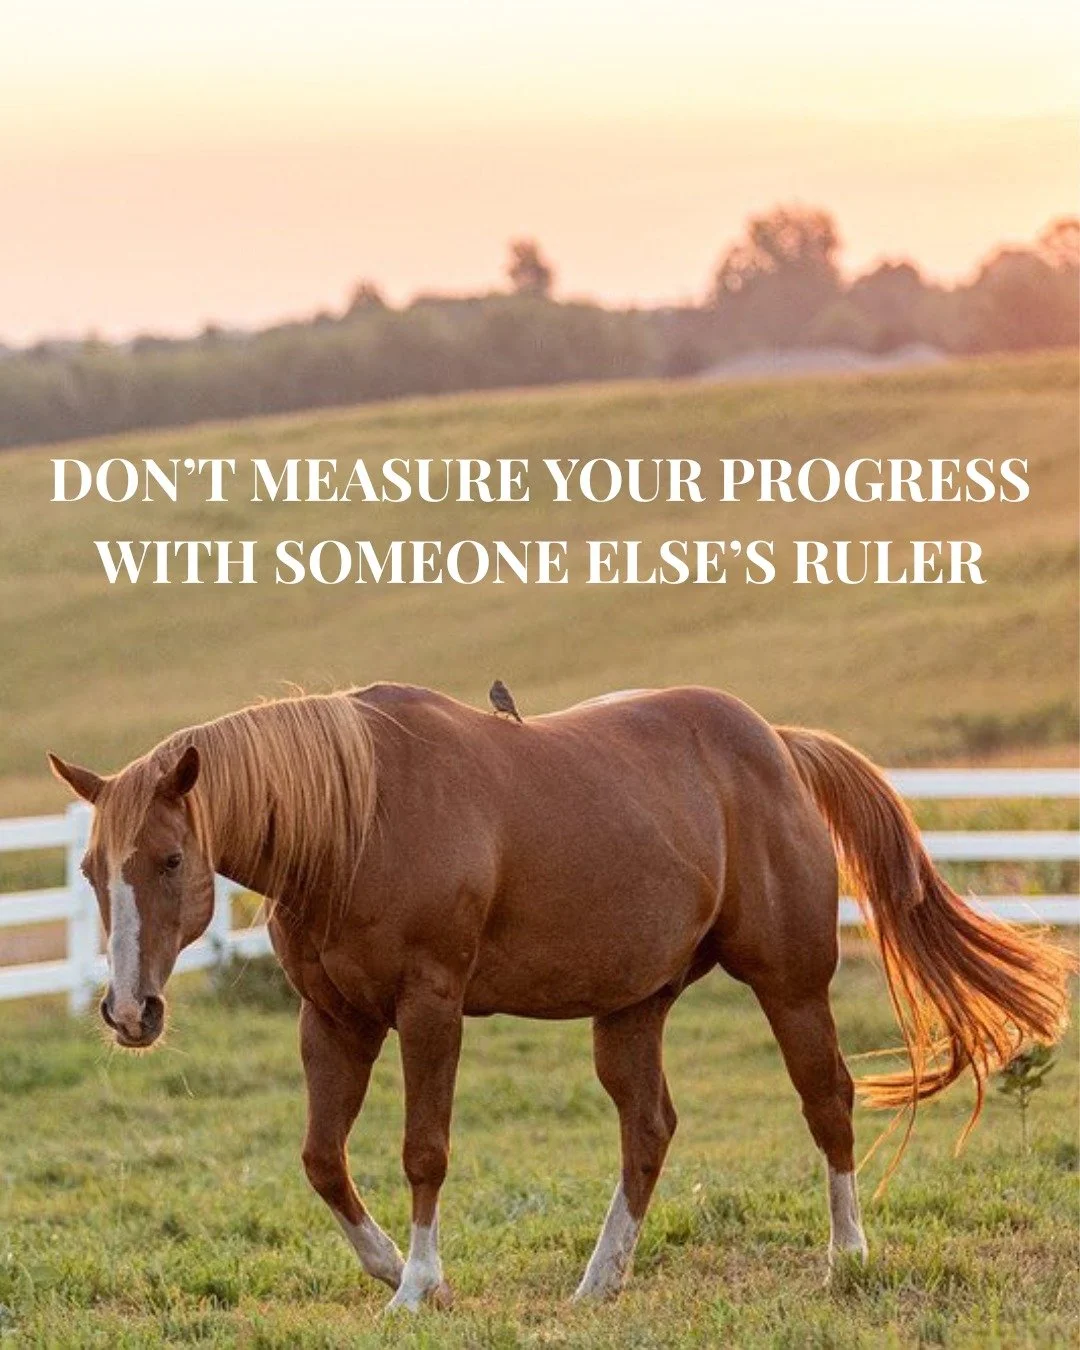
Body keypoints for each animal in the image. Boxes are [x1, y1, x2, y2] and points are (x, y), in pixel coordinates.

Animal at [48, 684, 1074, 1311]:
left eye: (170, 860)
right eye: (93, 869)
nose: (130, 1014)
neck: (358, 819)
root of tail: (778, 748)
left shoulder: (429, 1007)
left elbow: (424, 1151)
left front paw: (417, 1285)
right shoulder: (333, 1019)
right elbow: (322, 1160)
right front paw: (397, 1271)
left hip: (790, 984)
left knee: (828, 1102)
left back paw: (847, 1258)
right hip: (635, 1004)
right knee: (648, 1127)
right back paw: (601, 1280)